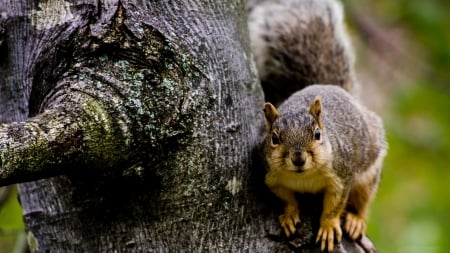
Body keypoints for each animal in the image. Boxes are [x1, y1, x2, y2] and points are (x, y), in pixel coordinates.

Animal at [264, 85, 386, 251]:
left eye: (317, 134)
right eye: (274, 138)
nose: (298, 159)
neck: (303, 176)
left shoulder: (341, 175)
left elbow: (335, 205)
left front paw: (328, 227)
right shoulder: (272, 179)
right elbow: (286, 199)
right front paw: (289, 214)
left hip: (368, 174)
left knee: (363, 199)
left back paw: (356, 220)